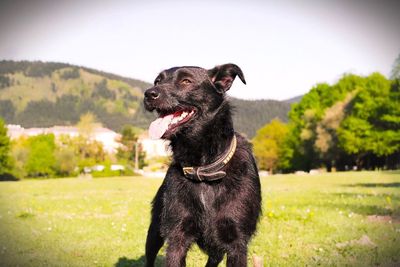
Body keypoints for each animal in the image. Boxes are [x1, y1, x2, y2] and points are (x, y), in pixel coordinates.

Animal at [142, 64, 260, 267]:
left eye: (186, 81)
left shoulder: (236, 243)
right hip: (155, 232)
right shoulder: (177, 238)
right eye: (157, 81)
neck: (204, 170)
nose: (149, 94)